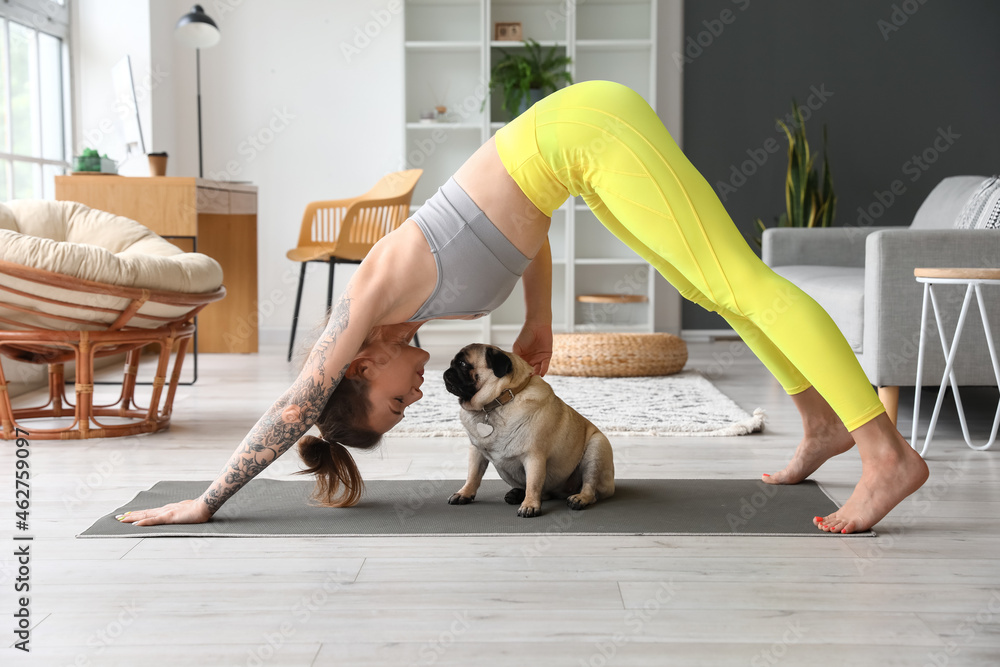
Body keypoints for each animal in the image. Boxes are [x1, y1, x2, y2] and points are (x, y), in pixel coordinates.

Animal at [442, 344, 612, 516]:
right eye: (452, 363)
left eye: (463, 364)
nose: (446, 372)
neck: (499, 402)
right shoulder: (476, 452)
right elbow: (473, 475)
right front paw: (464, 493)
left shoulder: (534, 456)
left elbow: (533, 484)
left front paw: (530, 505)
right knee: (545, 494)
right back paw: (516, 494)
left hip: (596, 449)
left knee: (590, 488)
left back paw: (579, 498)